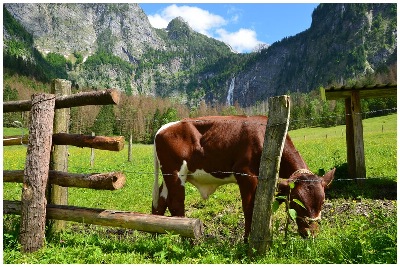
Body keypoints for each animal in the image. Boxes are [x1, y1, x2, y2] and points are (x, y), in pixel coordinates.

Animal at [152, 116, 336, 242]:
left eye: (322, 202)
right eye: (298, 203)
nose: (311, 234)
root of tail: (164, 127)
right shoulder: (246, 175)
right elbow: (249, 209)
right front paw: (247, 241)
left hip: (168, 176)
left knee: (161, 201)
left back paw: (154, 236)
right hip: (175, 173)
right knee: (176, 204)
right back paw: (187, 241)